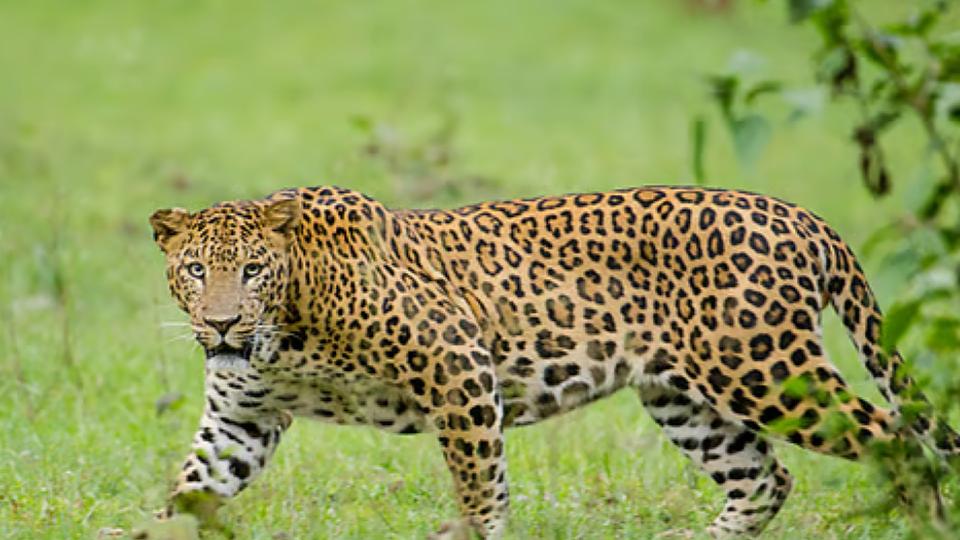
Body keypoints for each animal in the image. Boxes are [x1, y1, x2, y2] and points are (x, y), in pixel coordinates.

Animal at [149, 185, 960, 538]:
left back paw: (923, 526)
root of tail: (805, 217)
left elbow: (481, 487)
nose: (221, 324)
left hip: (763, 370)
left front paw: (475, 534)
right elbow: (188, 491)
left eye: (253, 270)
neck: (284, 330)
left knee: (897, 440)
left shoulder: (458, 364)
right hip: (684, 396)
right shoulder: (241, 421)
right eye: (195, 270)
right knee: (765, 478)